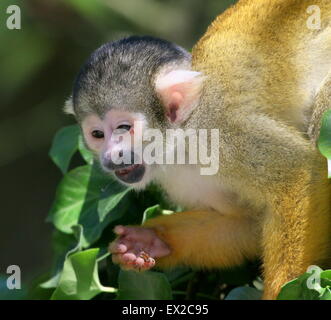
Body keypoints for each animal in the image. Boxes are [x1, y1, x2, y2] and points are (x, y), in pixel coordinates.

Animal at [66, 0, 331, 300]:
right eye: (98, 134)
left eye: (124, 128)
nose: (112, 156)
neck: (180, 144)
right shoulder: (178, 178)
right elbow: (247, 223)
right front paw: (149, 240)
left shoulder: (220, 133)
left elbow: (297, 174)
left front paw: (282, 292)